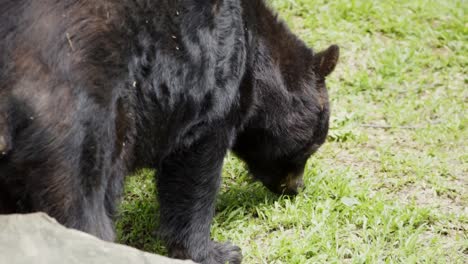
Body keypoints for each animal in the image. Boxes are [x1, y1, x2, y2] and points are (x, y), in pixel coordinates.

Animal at [0, 0, 338, 262]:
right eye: (315, 144)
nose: (296, 187)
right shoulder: (214, 83)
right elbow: (195, 171)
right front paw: (218, 252)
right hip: (79, 125)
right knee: (82, 207)